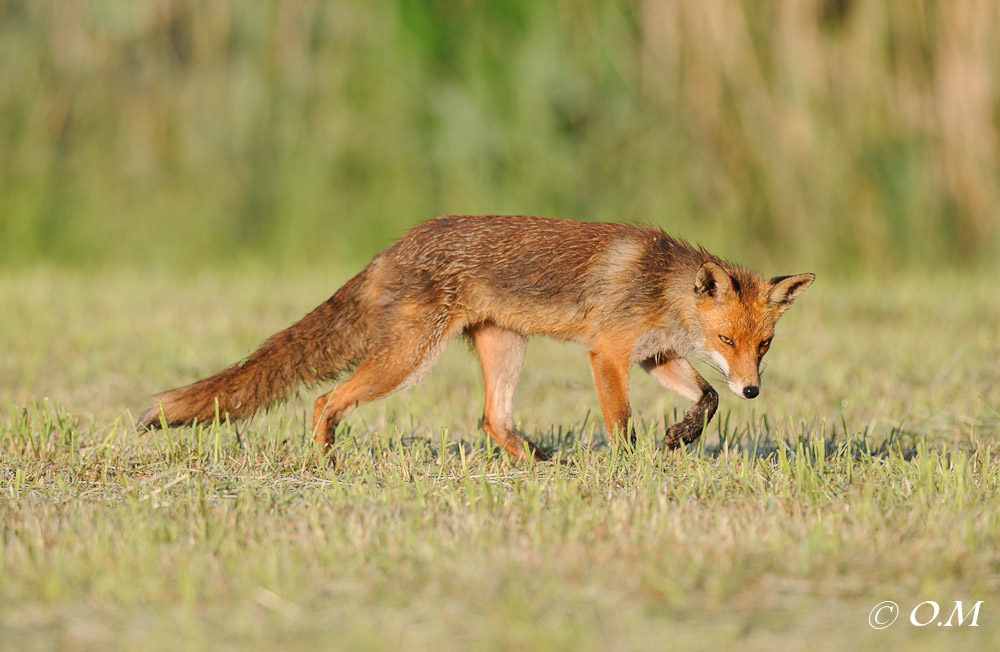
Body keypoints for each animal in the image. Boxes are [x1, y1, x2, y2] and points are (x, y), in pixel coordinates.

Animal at [138, 215, 814, 461]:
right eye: (726, 338)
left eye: (762, 346)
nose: (755, 391)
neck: (662, 289)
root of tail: (395, 244)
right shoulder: (609, 353)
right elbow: (621, 422)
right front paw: (628, 470)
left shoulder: (654, 355)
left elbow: (707, 398)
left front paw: (680, 437)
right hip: (408, 359)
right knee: (326, 399)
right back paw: (326, 460)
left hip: (504, 348)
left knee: (493, 419)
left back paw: (538, 466)